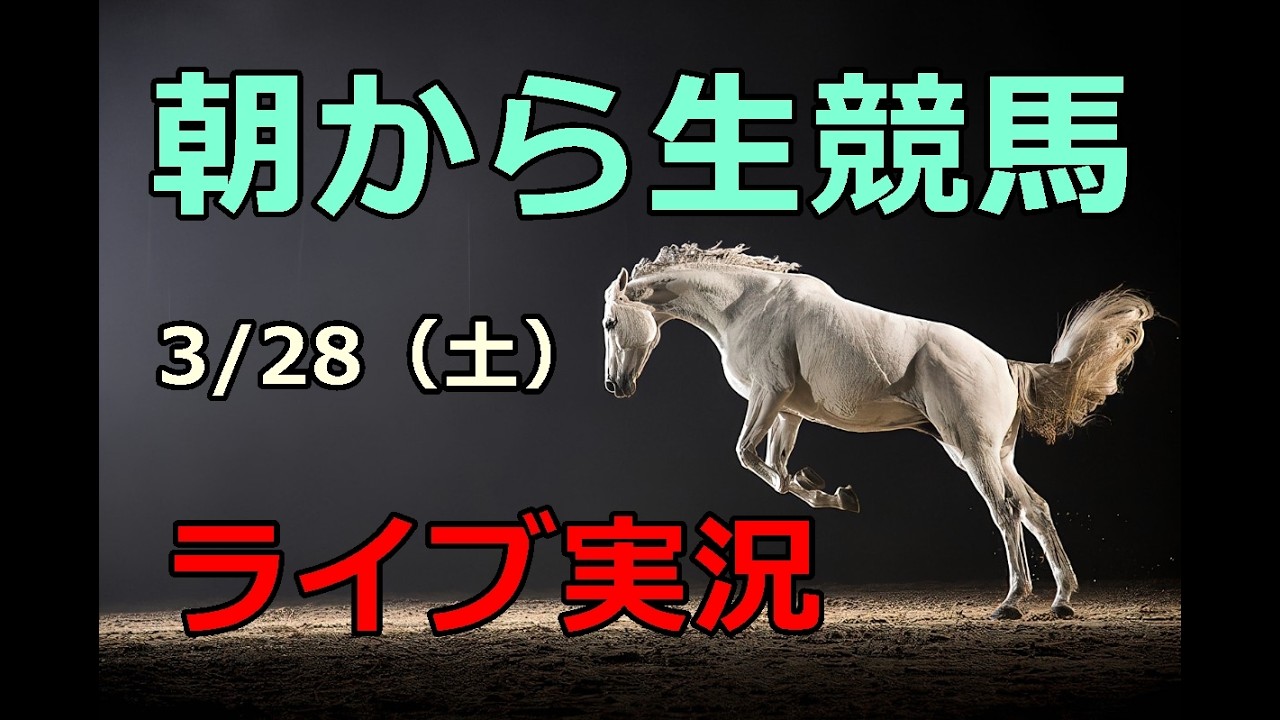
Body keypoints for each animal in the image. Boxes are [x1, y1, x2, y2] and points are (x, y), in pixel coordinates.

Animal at [601, 244, 1154, 620]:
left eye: (609, 323)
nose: (615, 386)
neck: (749, 305)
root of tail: (1004, 364)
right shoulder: (788, 412)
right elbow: (776, 470)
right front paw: (833, 492)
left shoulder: (768, 396)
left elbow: (748, 456)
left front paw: (827, 490)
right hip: (990, 454)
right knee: (1035, 508)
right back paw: (1062, 599)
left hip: (974, 452)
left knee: (1006, 510)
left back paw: (1013, 602)